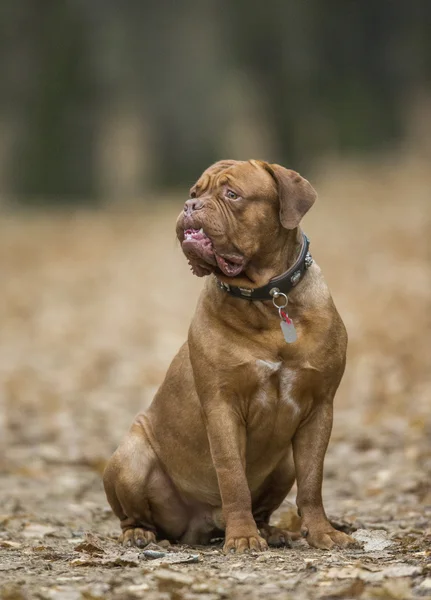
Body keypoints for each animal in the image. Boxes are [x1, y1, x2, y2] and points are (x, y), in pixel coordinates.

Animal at [103, 159, 356, 552]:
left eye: (232, 194)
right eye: (194, 193)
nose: (190, 206)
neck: (268, 299)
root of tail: (199, 525)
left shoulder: (319, 406)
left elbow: (312, 482)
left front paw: (322, 532)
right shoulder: (222, 406)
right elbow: (232, 477)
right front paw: (242, 537)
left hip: (284, 461)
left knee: (270, 503)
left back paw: (274, 531)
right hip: (129, 457)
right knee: (133, 515)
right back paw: (140, 533)